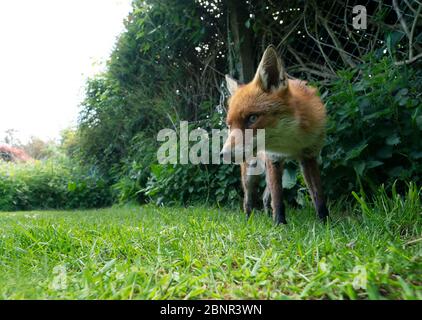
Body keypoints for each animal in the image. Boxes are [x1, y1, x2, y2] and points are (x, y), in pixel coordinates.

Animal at [221, 44, 330, 225]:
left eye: (252, 118)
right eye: (229, 125)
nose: (223, 154)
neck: (289, 143)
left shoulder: (309, 156)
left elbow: (318, 194)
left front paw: (325, 221)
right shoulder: (274, 158)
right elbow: (278, 198)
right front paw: (280, 224)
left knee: (266, 197)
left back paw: (266, 215)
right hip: (250, 174)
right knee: (248, 200)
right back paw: (249, 220)